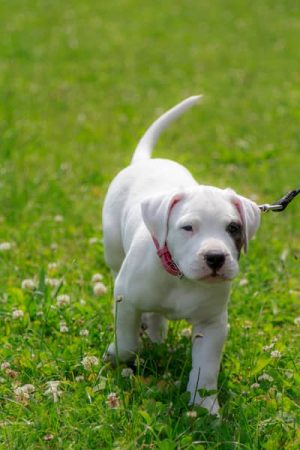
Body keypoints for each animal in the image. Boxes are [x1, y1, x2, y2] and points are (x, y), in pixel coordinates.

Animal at [101, 96, 260, 414]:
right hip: (113, 251)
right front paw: (117, 354)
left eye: (233, 228)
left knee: (157, 317)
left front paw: (205, 407)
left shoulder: (212, 326)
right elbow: (127, 342)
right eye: (188, 227)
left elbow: (205, 369)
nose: (216, 257)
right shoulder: (125, 298)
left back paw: (157, 336)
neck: (181, 277)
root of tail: (145, 162)